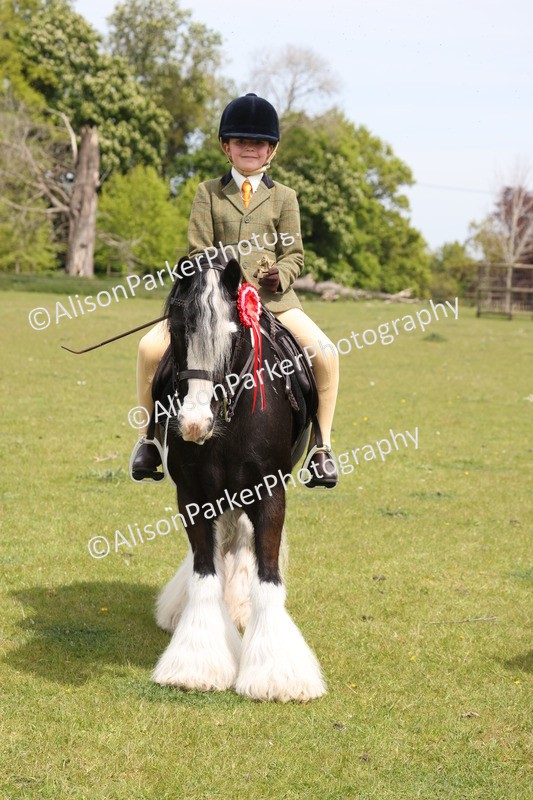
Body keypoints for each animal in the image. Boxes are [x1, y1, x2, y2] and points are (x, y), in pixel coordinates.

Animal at [150, 250, 327, 702]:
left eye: (233, 332)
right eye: (178, 329)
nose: (193, 424)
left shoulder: (270, 492)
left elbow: (267, 572)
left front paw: (277, 673)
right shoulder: (193, 495)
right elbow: (205, 572)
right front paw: (195, 663)